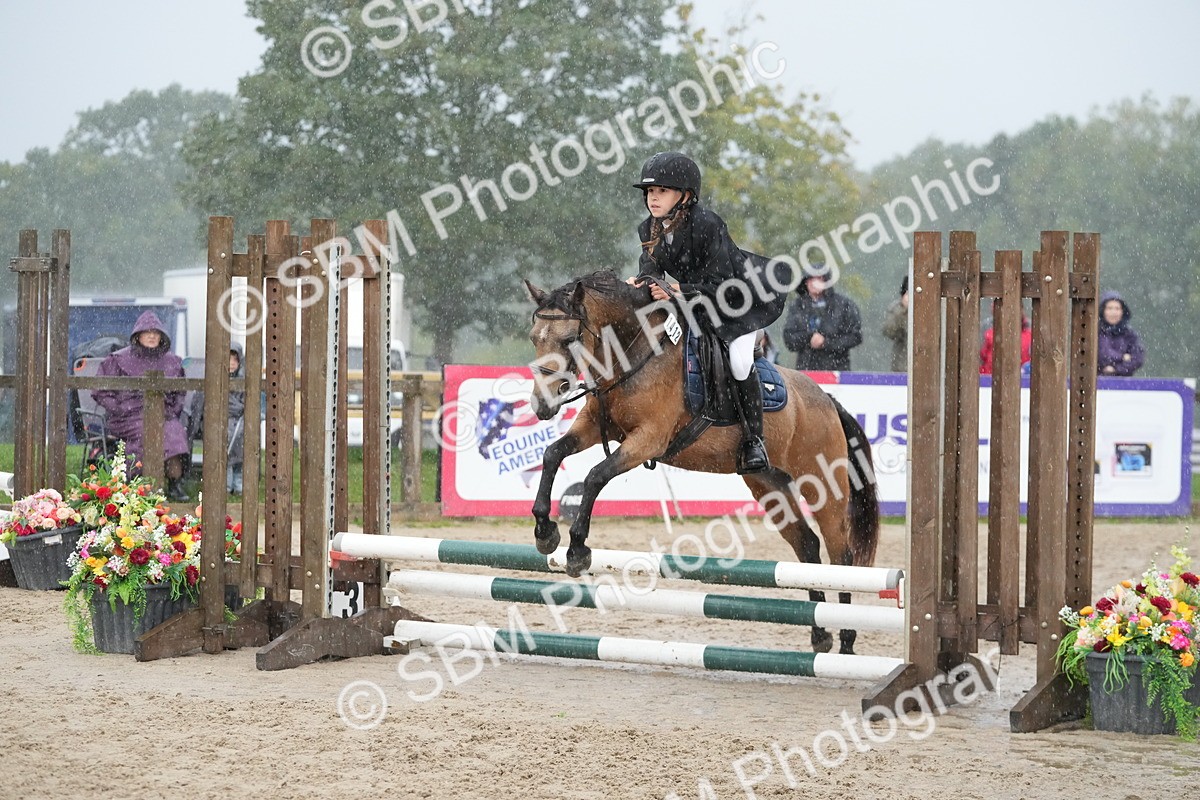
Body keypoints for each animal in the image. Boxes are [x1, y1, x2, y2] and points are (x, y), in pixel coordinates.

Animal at [522, 270, 880, 655]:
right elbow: (552, 454)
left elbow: (594, 477)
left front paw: (577, 550)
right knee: (807, 546)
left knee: (841, 555)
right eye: (534, 338)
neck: (634, 351)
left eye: (570, 339)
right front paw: (545, 532)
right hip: (768, 484)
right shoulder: (593, 426)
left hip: (822, 484)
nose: (541, 404)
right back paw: (820, 634)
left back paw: (846, 641)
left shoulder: (646, 440)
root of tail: (826, 399)